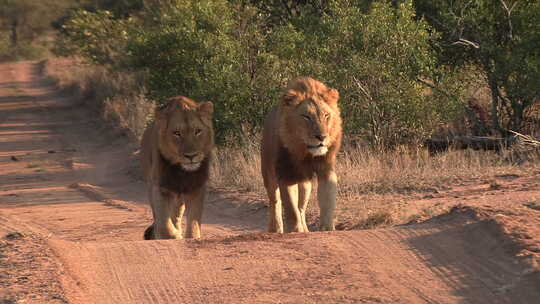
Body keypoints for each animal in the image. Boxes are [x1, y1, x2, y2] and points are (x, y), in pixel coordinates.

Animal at [139, 95, 215, 240]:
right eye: (177, 133)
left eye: (197, 131)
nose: (191, 156)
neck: (182, 172)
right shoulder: (161, 187)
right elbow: (164, 222)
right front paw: (173, 235)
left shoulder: (196, 187)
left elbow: (194, 222)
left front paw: (192, 236)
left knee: (177, 215)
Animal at [260, 76, 342, 233]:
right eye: (306, 117)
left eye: (326, 115)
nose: (322, 137)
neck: (305, 153)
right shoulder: (286, 174)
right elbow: (291, 208)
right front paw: (295, 230)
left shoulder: (326, 169)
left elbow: (327, 202)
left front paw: (327, 228)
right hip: (268, 174)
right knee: (275, 201)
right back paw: (276, 229)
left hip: (305, 184)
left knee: (301, 207)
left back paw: (305, 229)